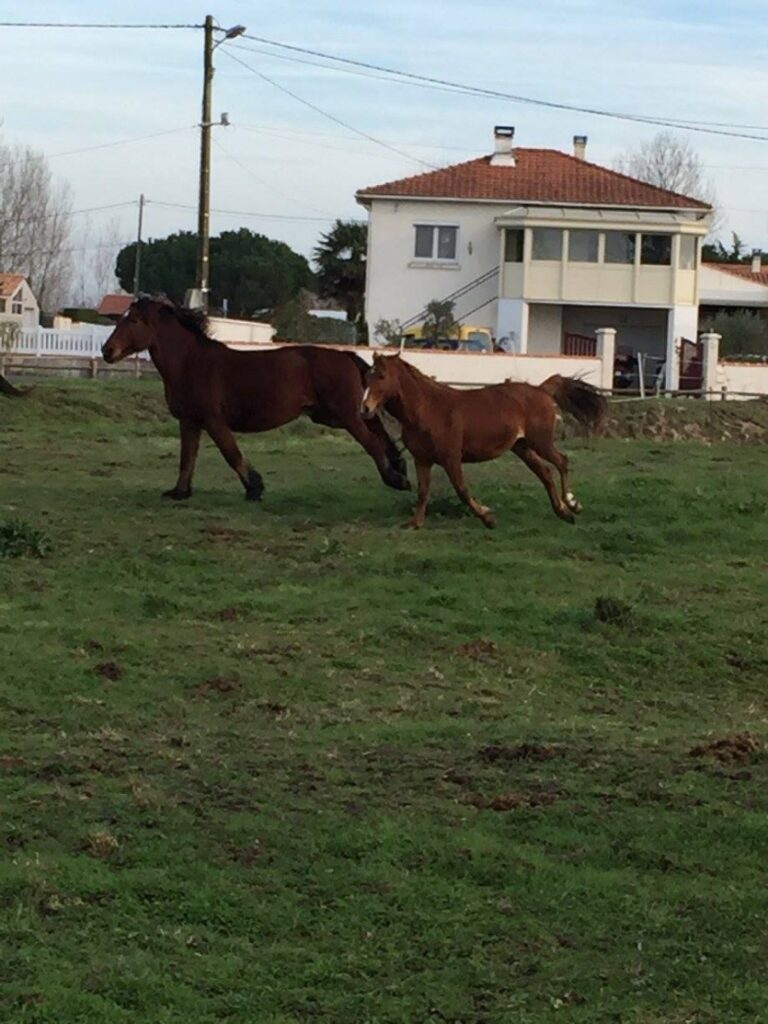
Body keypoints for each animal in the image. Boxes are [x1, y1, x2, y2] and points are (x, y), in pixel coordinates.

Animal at [105, 294, 411, 501]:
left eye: (133, 320)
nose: (107, 350)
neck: (190, 362)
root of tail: (346, 356)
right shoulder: (190, 422)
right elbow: (186, 458)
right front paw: (179, 492)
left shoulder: (213, 420)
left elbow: (231, 453)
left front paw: (255, 488)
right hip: (337, 415)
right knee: (381, 437)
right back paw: (401, 470)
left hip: (344, 415)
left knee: (373, 442)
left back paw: (395, 479)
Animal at [360, 352, 606, 528]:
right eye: (367, 376)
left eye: (381, 376)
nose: (365, 409)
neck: (427, 409)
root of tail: (541, 390)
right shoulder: (422, 459)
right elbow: (422, 492)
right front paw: (414, 523)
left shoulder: (451, 457)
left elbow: (461, 490)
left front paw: (488, 518)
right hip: (522, 447)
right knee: (545, 473)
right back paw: (563, 512)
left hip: (540, 442)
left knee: (562, 461)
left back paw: (572, 504)